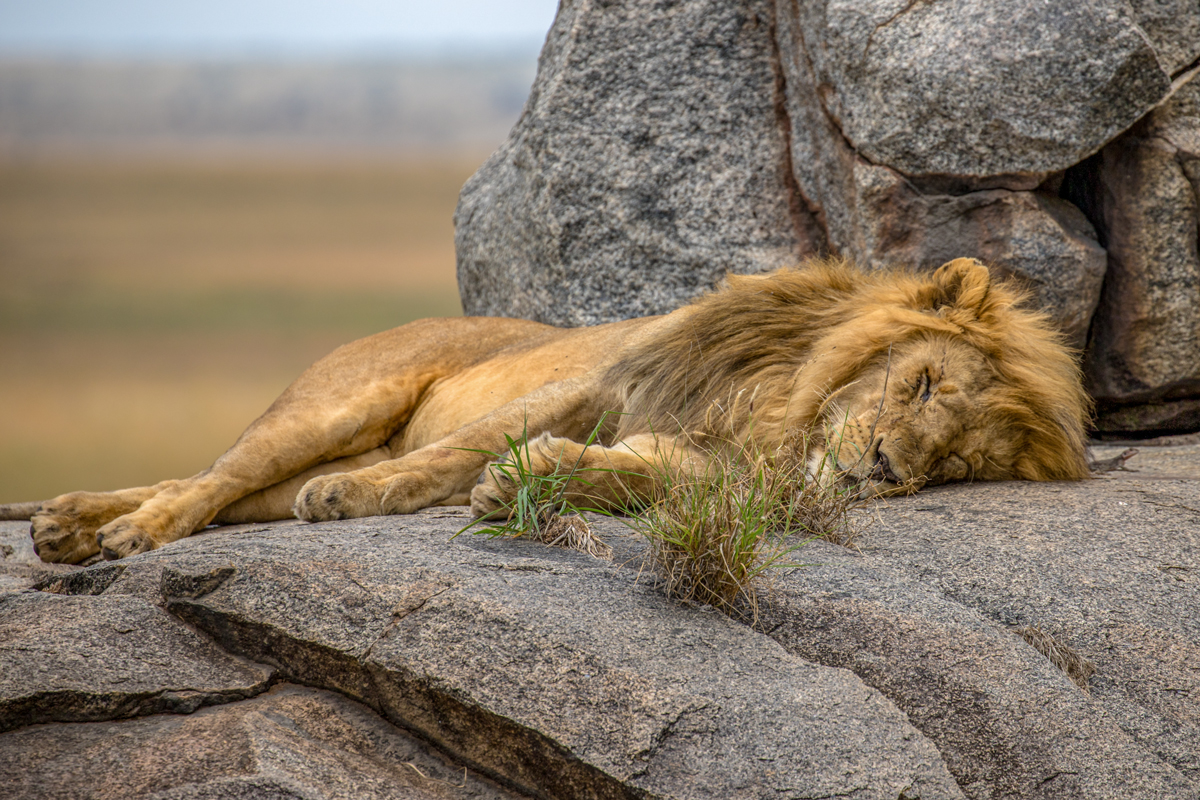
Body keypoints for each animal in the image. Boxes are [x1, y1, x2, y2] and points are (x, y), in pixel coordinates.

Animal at [0, 256, 1094, 563]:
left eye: (957, 463)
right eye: (922, 384)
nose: (884, 470)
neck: (785, 411)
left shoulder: (704, 457)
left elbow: (632, 476)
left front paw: (524, 486)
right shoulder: (598, 381)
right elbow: (459, 450)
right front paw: (373, 495)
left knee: (226, 489)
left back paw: (68, 521)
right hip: (339, 402)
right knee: (216, 475)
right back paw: (118, 532)